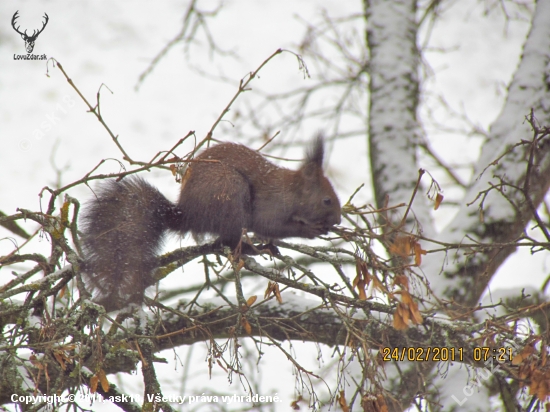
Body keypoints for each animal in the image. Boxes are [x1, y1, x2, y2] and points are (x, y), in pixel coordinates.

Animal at [81, 137, 340, 310]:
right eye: (326, 200)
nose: (338, 220)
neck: (292, 192)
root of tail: (188, 214)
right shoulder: (270, 207)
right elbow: (272, 226)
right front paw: (311, 230)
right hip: (230, 193)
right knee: (229, 240)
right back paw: (252, 248)